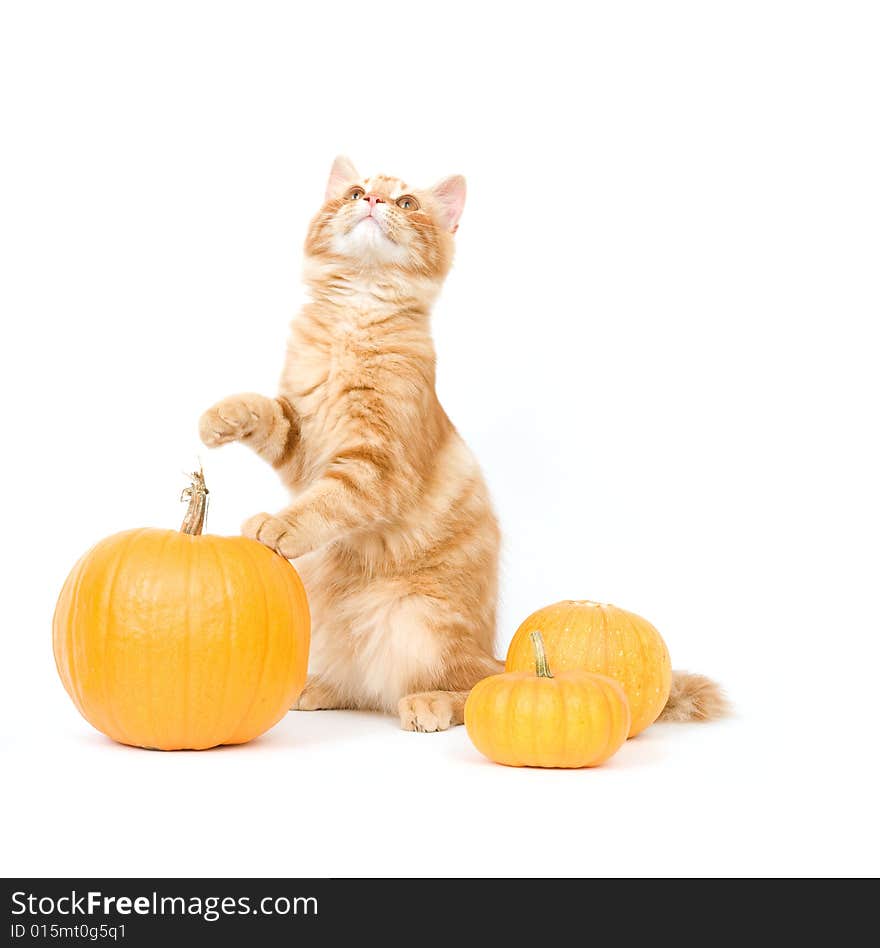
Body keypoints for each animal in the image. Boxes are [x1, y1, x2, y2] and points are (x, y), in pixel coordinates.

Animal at [201, 159, 728, 728]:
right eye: (356, 192)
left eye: (407, 203)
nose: (374, 203)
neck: (354, 320)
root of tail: (489, 653)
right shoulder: (301, 438)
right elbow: (265, 412)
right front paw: (219, 418)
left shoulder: (376, 467)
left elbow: (324, 503)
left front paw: (277, 526)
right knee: (365, 688)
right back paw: (317, 686)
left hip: (421, 622)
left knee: (471, 687)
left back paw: (428, 704)